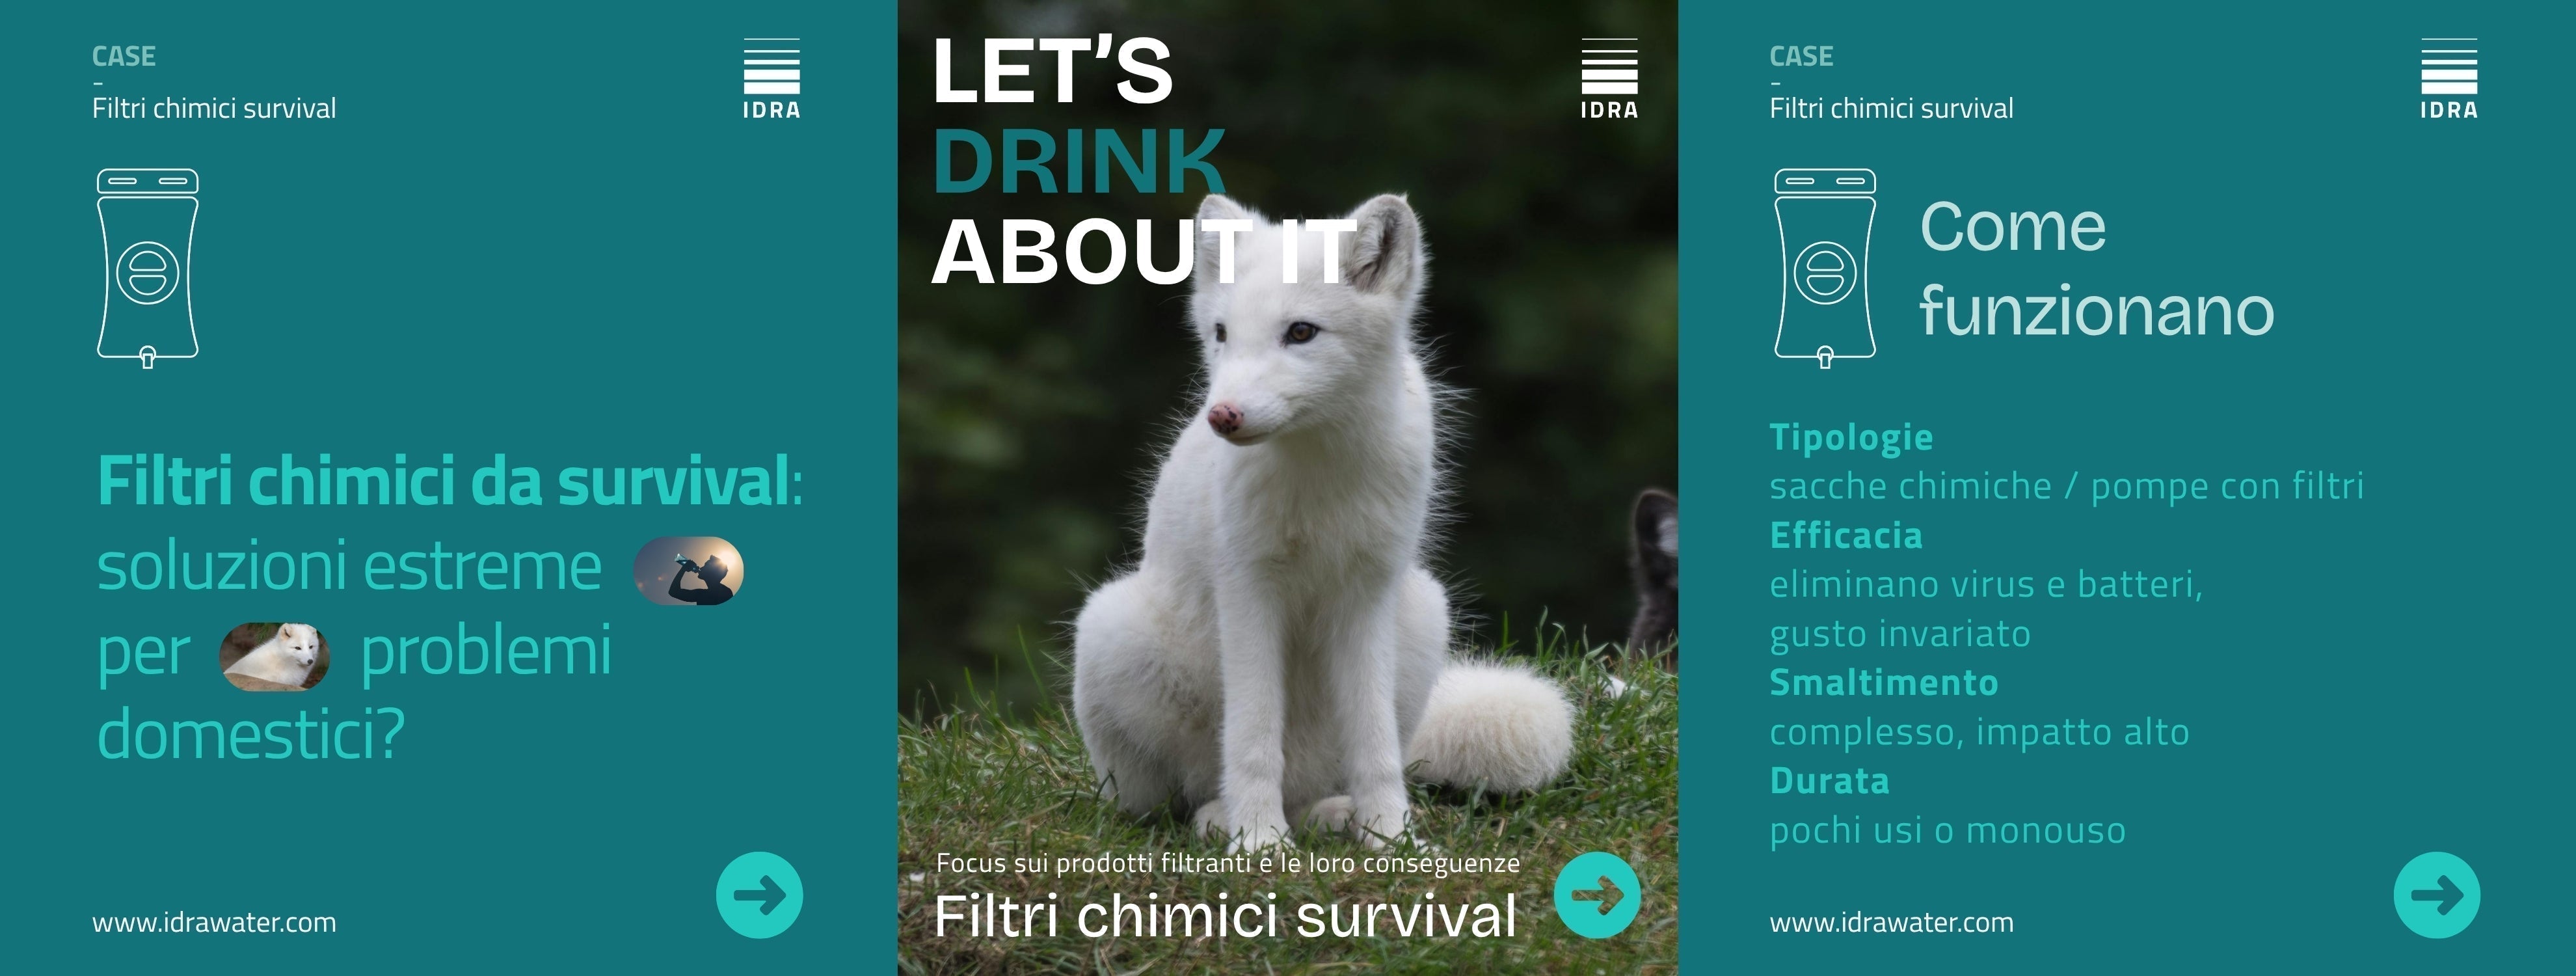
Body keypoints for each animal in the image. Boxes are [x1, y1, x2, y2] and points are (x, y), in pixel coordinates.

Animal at [1072, 193, 1574, 853]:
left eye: (1301, 332)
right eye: (1221, 334)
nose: (1223, 415)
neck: (1320, 470)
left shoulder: (1367, 593)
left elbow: (1377, 747)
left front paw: (1394, 839)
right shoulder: (1249, 590)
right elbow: (1254, 740)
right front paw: (1259, 844)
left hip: (1425, 611)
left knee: (1331, 783)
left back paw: (1334, 817)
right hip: (1109, 630)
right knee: (1168, 802)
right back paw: (1223, 819)